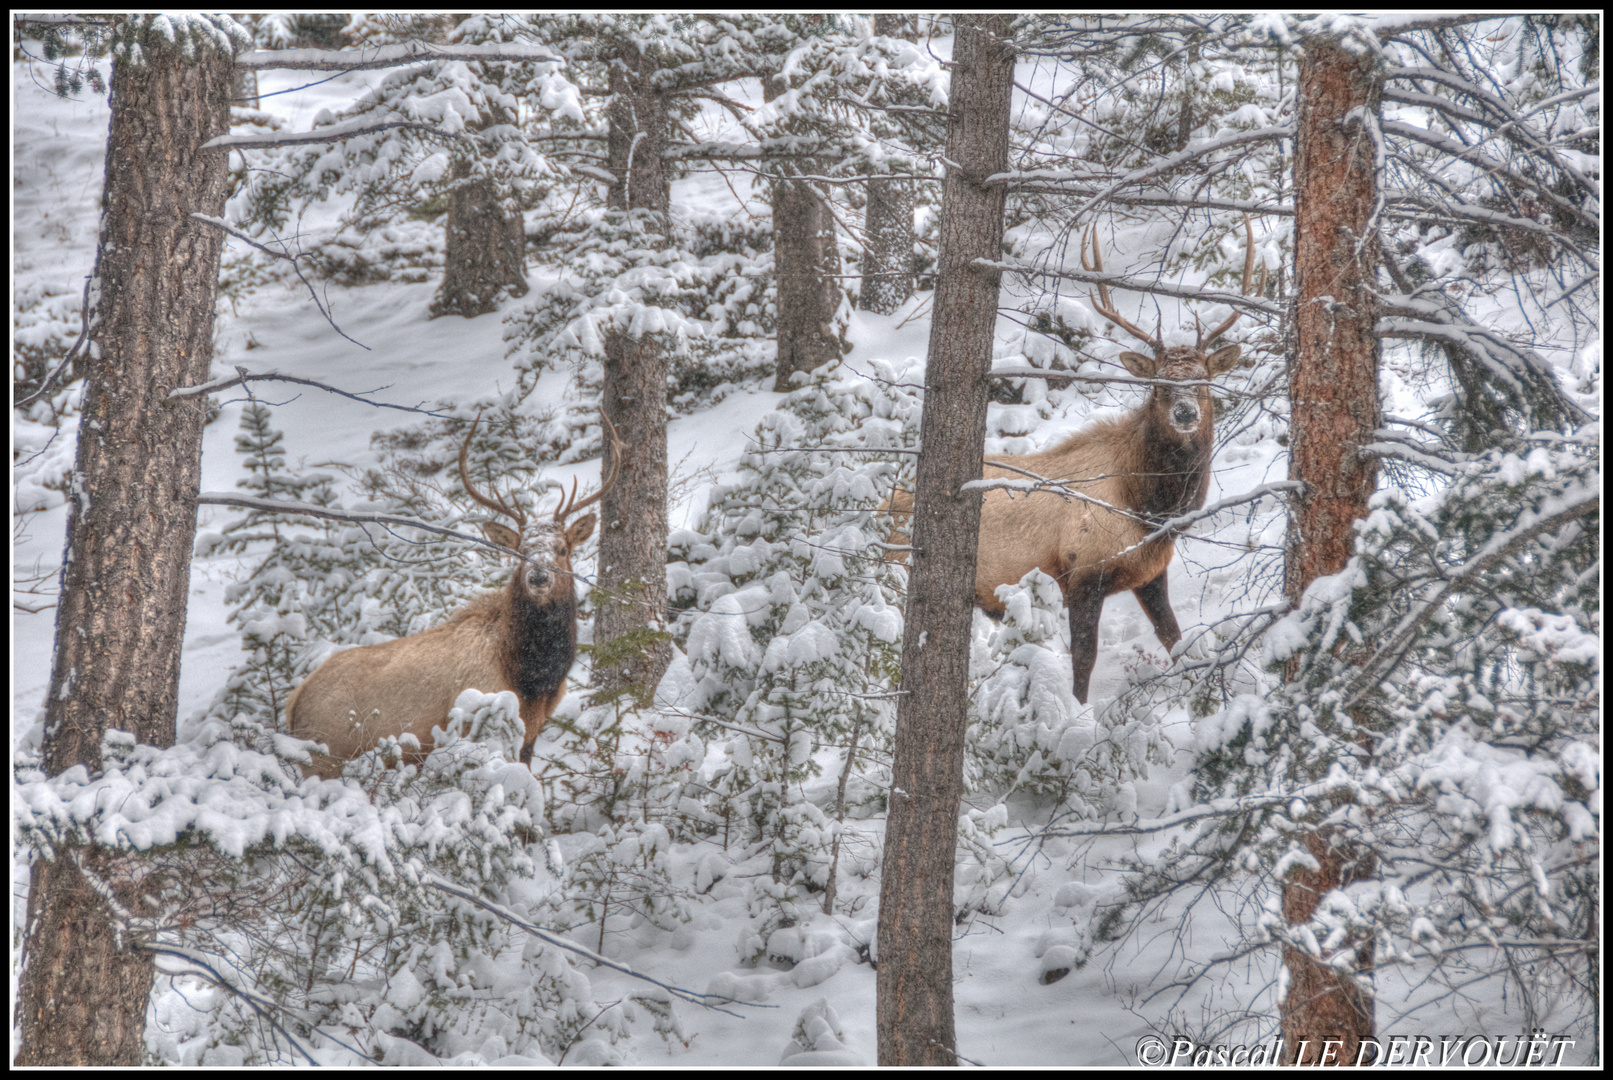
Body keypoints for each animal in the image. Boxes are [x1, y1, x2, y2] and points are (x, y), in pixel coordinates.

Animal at [287, 412, 619, 780]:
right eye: (520, 552)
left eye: (562, 550)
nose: (538, 577)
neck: (533, 677)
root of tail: (293, 705)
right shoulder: (477, 719)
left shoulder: (532, 730)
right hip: (325, 759)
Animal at [890, 222, 1264, 709]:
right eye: (1157, 383)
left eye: (1204, 380)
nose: (1185, 413)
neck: (1148, 506)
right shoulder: (1082, 571)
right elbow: (1085, 658)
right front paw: (1077, 713)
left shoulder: (1150, 572)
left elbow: (1174, 638)